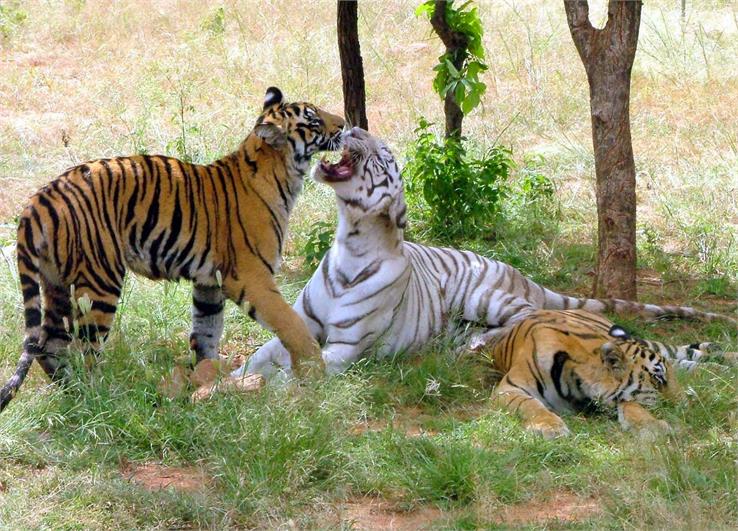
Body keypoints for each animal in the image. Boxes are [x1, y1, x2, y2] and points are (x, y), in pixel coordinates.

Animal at [234, 127, 732, 380]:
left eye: (384, 153)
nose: (353, 126)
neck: (351, 242)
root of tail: (524, 275)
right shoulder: (300, 327)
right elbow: (255, 359)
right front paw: (230, 380)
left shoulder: (344, 347)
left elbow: (290, 374)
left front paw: (255, 391)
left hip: (482, 293)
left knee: (526, 316)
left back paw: (476, 344)